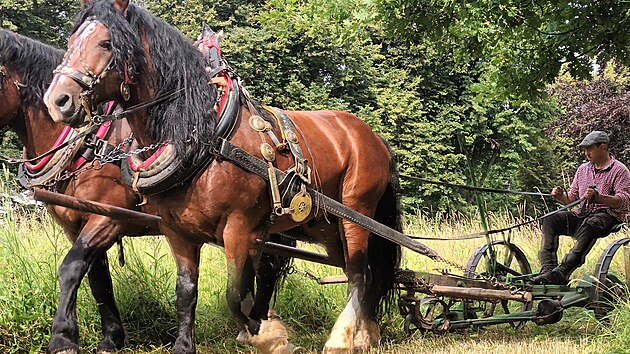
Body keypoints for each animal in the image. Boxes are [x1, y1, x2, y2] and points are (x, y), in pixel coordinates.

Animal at [47, 0, 408, 352]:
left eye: (106, 43)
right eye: (71, 40)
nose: (57, 100)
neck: (206, 137)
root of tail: (375, 139)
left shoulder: (238, 228)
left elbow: (235, 294)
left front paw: (267, 335)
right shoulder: (178, 232)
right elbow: (186, 292)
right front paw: (185, 345)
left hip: (356, 213)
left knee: (359, 274)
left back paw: (342, 339)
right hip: (325, 225)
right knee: (358, 271)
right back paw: (365, 334)